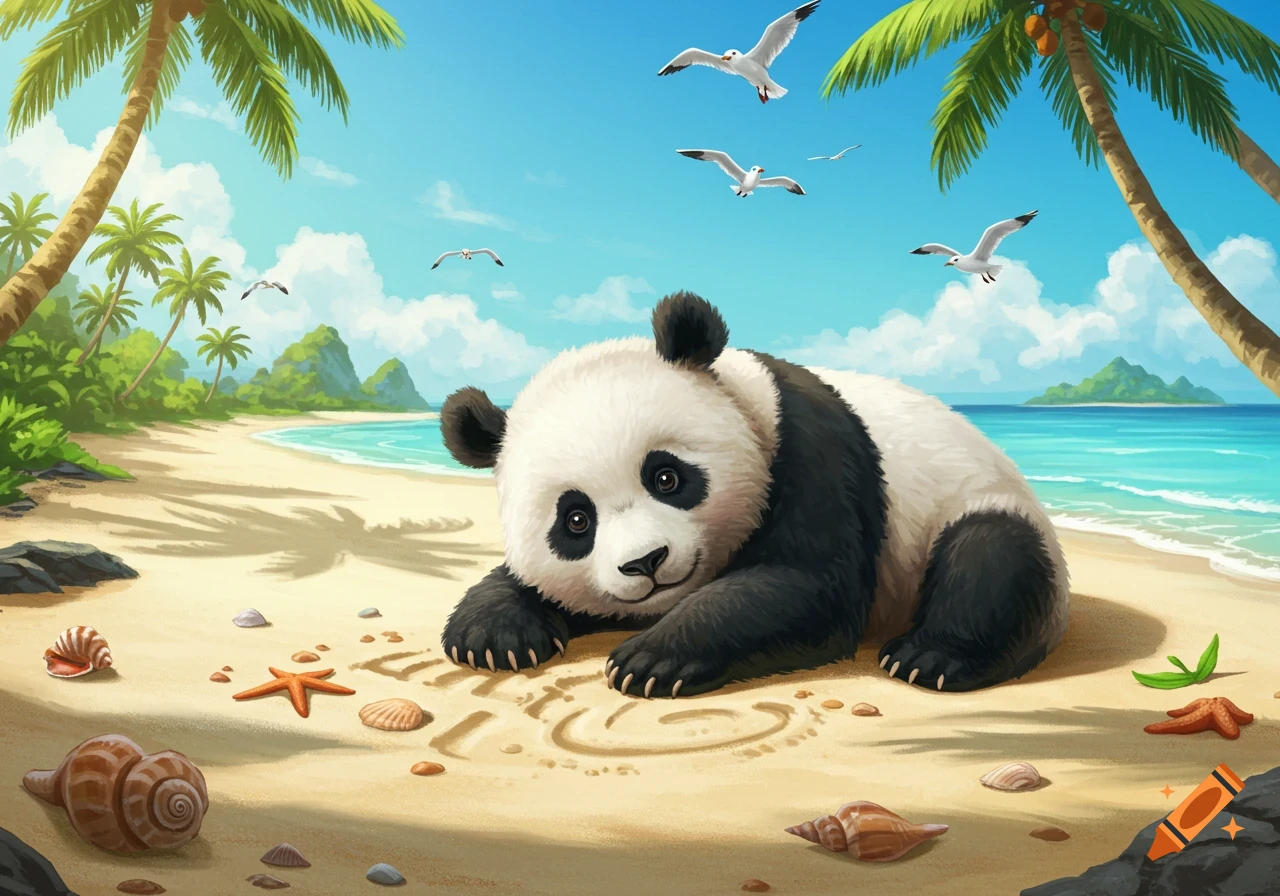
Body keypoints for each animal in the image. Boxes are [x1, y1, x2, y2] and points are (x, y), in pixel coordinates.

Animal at [439, 291, 1070, 699]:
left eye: (666, 477)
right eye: (575, 520)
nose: (646, 562)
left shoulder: (814, 453)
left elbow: (808, 586)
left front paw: (649, 659)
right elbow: (519, 583)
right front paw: (491, 637)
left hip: (980, 505)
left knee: (989, 556)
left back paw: (928, 657)